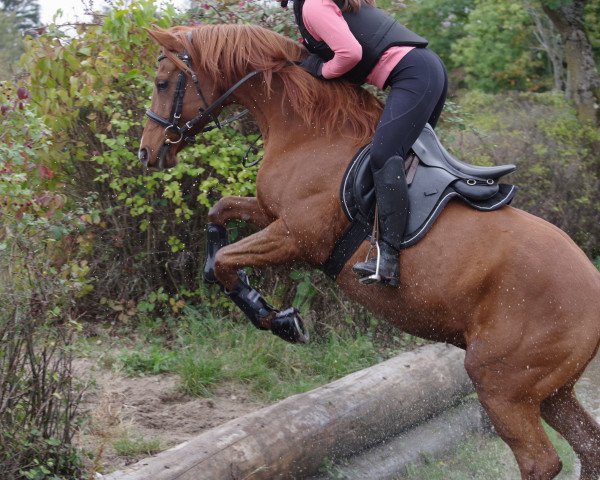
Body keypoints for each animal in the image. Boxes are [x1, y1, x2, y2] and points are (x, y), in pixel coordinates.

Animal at [138, 25, 600, 480]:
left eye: (162, 83)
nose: (148, 151)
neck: (310, 133)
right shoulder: (270, 213)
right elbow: (219, 214)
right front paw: (241, 289)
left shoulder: (295, 236)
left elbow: (227, 260)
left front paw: (280, 320)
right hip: (551, 391)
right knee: (588, 447)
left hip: (502, 384)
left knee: (541, 461)